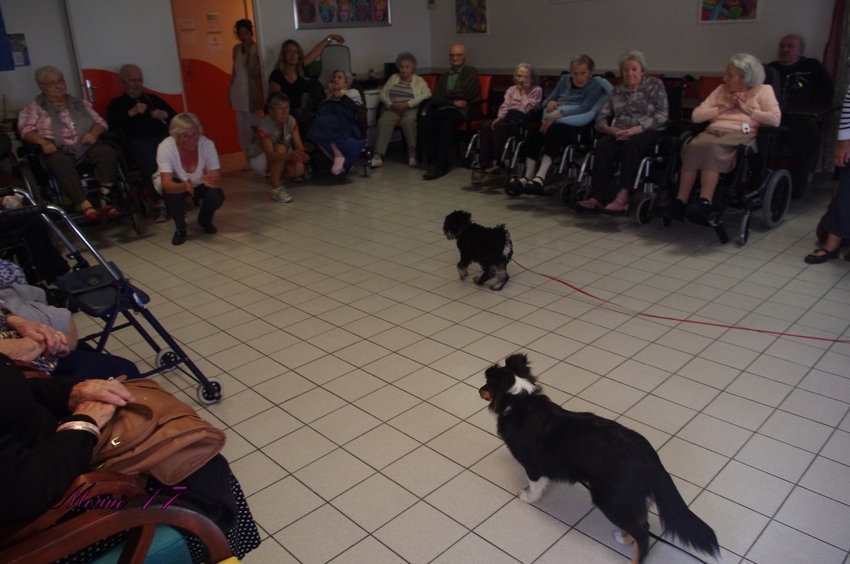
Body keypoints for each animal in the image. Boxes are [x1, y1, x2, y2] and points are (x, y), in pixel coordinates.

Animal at [480, 354, 720, 560]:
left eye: (487, 383)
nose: (478, 390)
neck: (519, 402)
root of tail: (650, 459)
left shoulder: (533, 465)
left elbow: (535, 486)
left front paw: (528, 498)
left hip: (610, 498)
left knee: (643, 535)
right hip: (624, 497)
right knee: (643, 524)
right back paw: (624, 538)